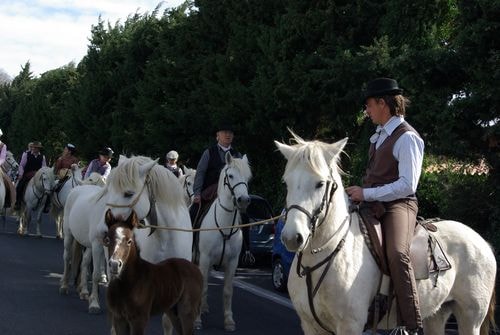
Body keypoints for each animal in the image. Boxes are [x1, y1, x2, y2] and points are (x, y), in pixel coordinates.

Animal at [194, 154, 252, 332]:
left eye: (248, 177)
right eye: (230, 176)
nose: (243, 200)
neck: (225, 225)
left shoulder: (232, 262)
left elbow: (227, 291)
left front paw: (228, 320)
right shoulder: (205, 258)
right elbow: (203, 287)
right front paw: (196, 321)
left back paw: (204, 307)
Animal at [276, 134, 498, 335]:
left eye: (320, 183)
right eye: (286, 182)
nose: (292, 237)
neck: (319, 261)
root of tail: (482, 242)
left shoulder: (350, 326)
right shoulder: (310, 326)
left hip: (470, 319)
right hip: (436, 315)